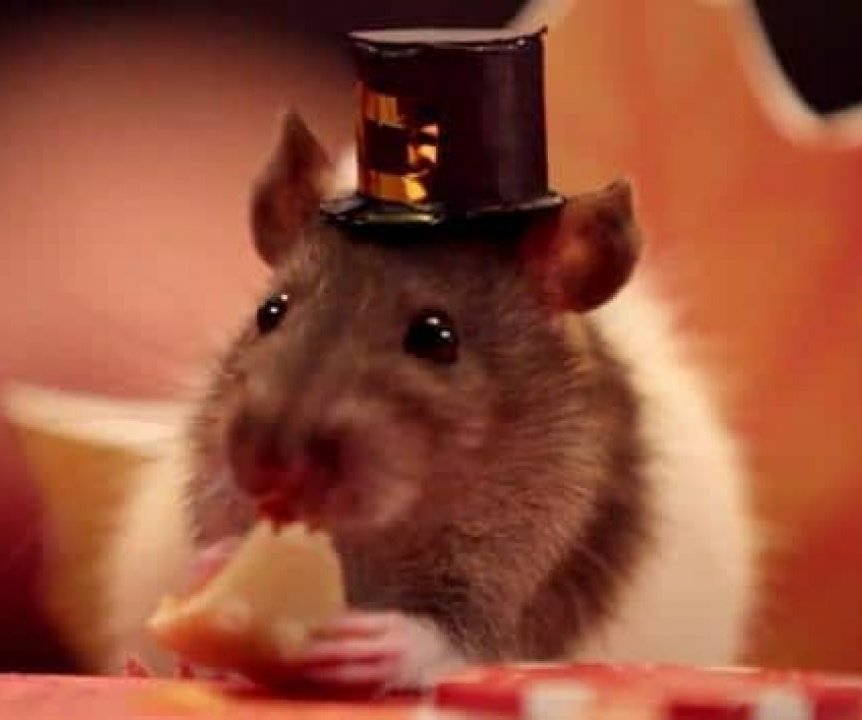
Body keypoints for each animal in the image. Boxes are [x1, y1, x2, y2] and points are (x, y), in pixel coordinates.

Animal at [102, 113, 757, 689]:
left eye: (437, 337)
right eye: (270, 312)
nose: (269, 469)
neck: (370, 543)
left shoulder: (537, 548)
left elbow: (475, 633)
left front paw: (398, 642)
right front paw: (211, 568)